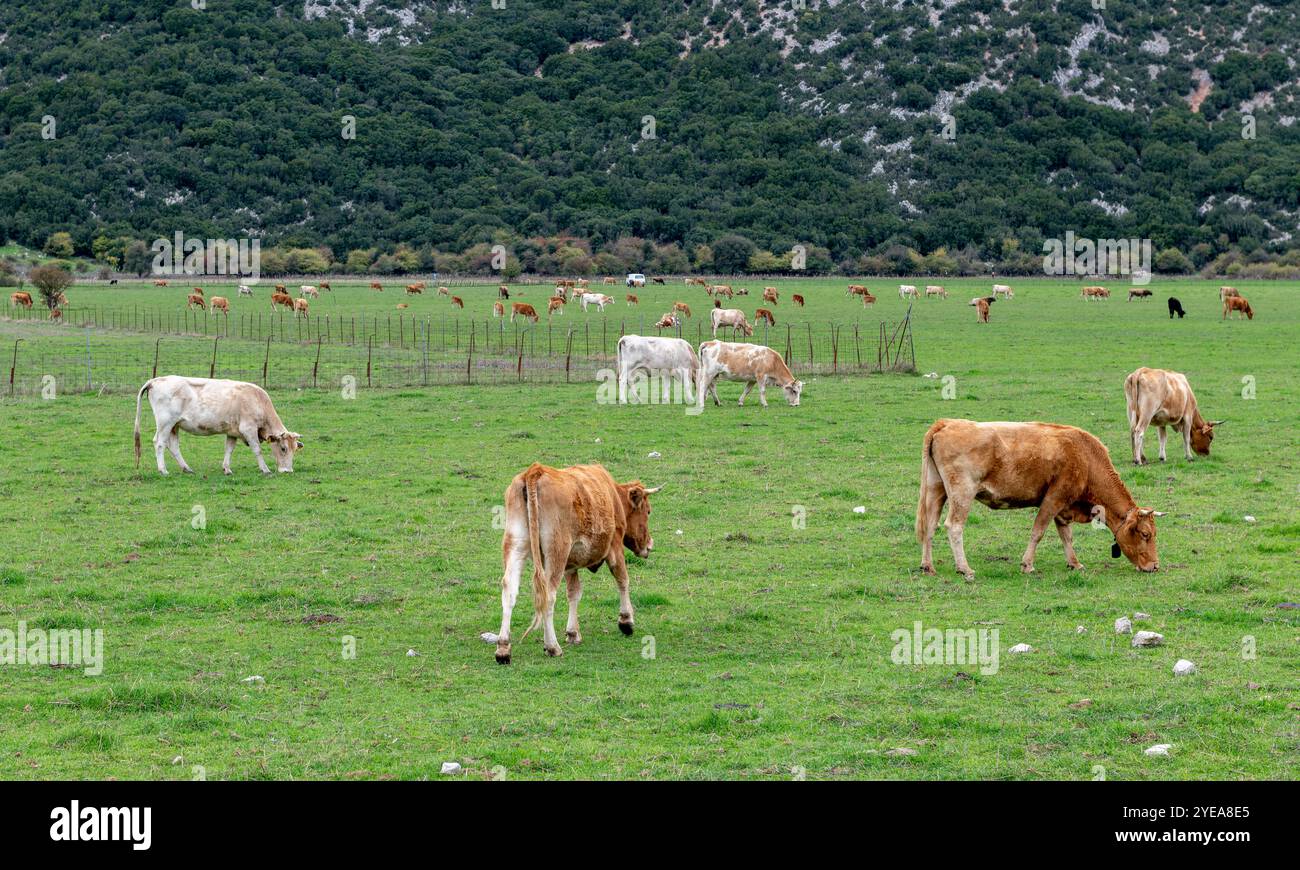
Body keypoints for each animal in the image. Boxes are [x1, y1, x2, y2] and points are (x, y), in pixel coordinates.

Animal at [135, 374, 304, 475]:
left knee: (173, 446)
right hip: (165, 423)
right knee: (159, 443)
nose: (288, 471)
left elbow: (229, 450)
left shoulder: (233, 431)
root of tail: (156, 380)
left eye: (295, 449)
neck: (258, 401)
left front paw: (227, 469)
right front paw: (265, 469)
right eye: (283, 448)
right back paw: (163, 470)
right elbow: (257, 450)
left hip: (174, 426)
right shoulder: (248, 429)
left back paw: (187, 468)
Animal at [488, 460, 660, 658]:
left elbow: (574, 592)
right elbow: (622, 579)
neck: (613, 494)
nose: (650, 545)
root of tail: (536, 471)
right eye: (648, 511)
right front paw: (626, 621)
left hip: (515, 544)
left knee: (509, 589)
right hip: (557, 552)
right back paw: (552, 646)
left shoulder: (571, 564)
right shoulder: (615, 545)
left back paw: (503, 648)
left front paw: (572, 632)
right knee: (549, 595)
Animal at [915, 418, 1170, 580]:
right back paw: (964, 568)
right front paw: (1027, 565)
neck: (1086, 458)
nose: (1155, 566)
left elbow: (1066, 536)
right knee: (954, 526)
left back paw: (928, 566)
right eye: (1145, 534)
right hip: (962, 494)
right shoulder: (1054, 498)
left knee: (930, 526)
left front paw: (1074, 563)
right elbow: (1038, 531)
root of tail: (947, 423)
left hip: (936, 489)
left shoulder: (1064, 507)